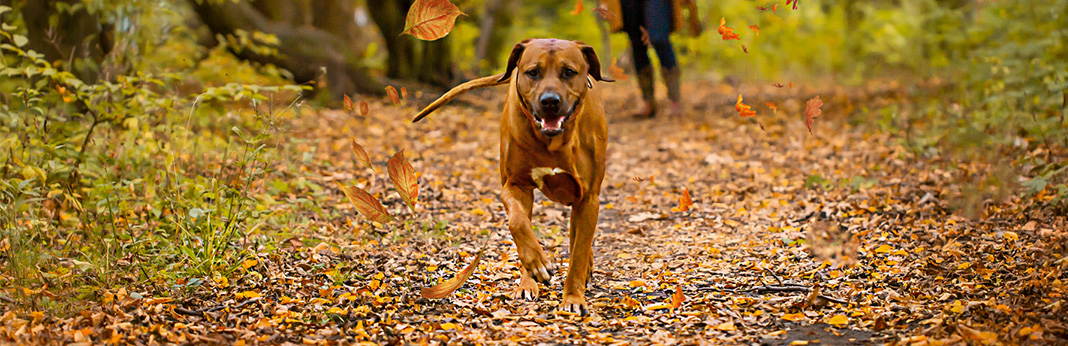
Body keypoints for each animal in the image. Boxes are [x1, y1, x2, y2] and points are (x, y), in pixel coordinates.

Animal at [410, 38, 610, 313]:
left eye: (569, 72)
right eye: (532, 72)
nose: (550, 101)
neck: (553, 142)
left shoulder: (589, 197)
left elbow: (578, 252)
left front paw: (572, 298)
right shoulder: (514, 185)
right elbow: (517, 223)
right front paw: (537, 263)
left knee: (578, 238)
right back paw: (528, 281)